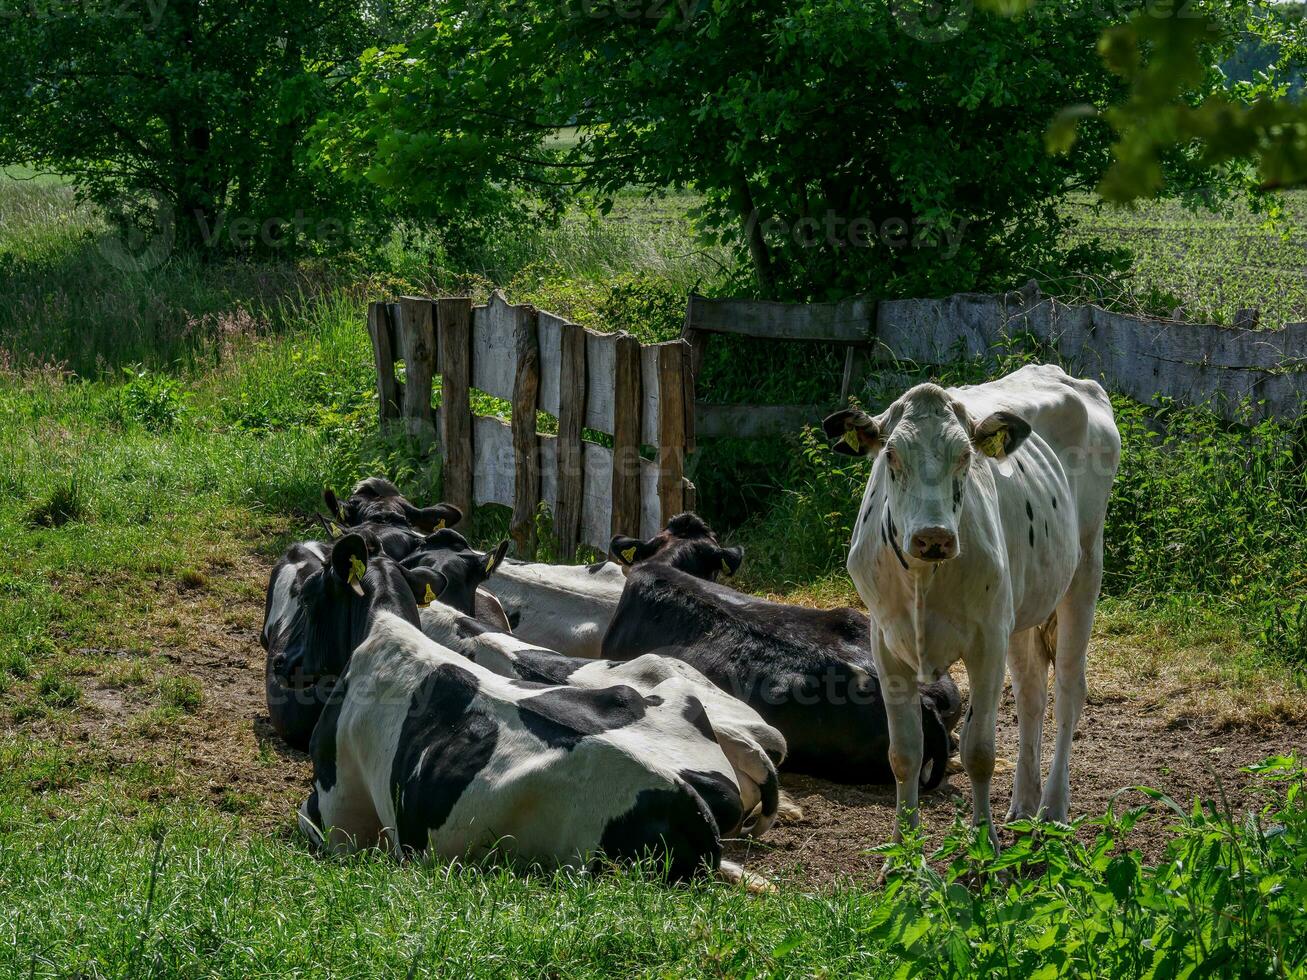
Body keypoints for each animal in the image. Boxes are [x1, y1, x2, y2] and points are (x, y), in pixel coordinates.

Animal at [820, 365, 1118, 841]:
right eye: (891, 456)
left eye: (964, 456)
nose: (933, 536)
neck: (923, 579)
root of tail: (1060, 373)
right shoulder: (886, 644)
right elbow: (904, 753)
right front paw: (903, 848)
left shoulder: (986, 642)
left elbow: (979, 751)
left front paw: (984, 843)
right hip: (1019, 609)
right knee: (1031, 693)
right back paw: (1023, 804)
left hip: (1084, 571)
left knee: (1069, 691)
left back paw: (1053, 807)